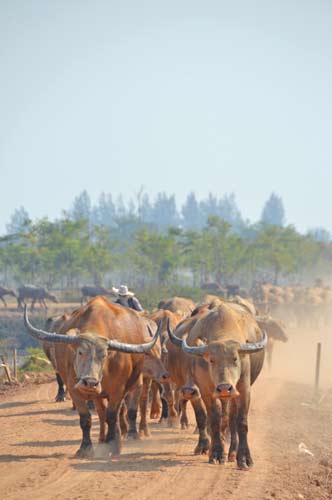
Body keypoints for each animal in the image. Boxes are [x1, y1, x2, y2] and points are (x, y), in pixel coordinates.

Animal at [24, 296, 161, 458]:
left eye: (104, 355)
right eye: (80, 352)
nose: (90, 382)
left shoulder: (118, 390)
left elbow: (112, 415)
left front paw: (112, 445)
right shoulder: (74, 390)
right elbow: (85, 419)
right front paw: (85, 447)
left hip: (132, 385)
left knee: (125, 410)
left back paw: (126, 436)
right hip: (96, 394)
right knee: (102, 413)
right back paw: (103, 439)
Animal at [169, 302, 268, 470]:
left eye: (235, 358)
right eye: (211, 360)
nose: (224, 388)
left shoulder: (244, 388)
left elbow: (241, 422)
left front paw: (244, 458)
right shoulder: (206, 390)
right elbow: (213, 419)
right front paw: (216, 453)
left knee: (232, 419)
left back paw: (232, 452)